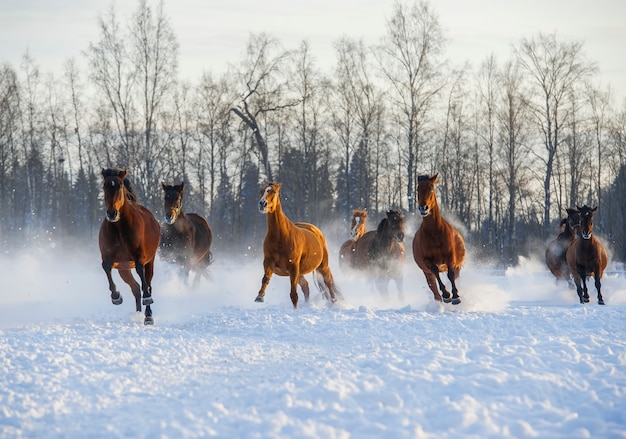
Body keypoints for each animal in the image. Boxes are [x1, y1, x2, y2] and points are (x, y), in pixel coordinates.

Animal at [98, 168, 161, 326]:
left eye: (120, 185)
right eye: (104, 185)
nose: (112, 213)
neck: (119, 228)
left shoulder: (139, 257)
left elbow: (140, 272)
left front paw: (147, 299)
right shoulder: (111, 258)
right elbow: (106, 267)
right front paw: (116, 297)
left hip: (150, 262)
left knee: (147, 284)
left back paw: (148, 316)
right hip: (124, 269)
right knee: (135, 288)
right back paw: (138, 313)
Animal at [255, 182, 338, 310]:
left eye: (273, 191)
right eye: (261, 190)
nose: (262, 204)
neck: (280, 236)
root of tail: (316, 230)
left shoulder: (293, 267)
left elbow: (293, 294)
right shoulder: (269, 262)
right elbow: (265, 278)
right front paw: (260, 296)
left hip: (322, 266)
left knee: (328, 282)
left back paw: (334, 302)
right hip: (301, 273)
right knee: (306, 286)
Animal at [410, 174, 464, 304]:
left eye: (431, 188)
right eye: (418, 189)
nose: (423, 208)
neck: (434, 233)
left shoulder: (451, 258)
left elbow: (451, 275)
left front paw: (455, 296)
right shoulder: (427, 261)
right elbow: (435, 270)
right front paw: (446, 294)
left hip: (458, 265)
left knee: (454, 276)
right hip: (426, 272)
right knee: (434, 288)